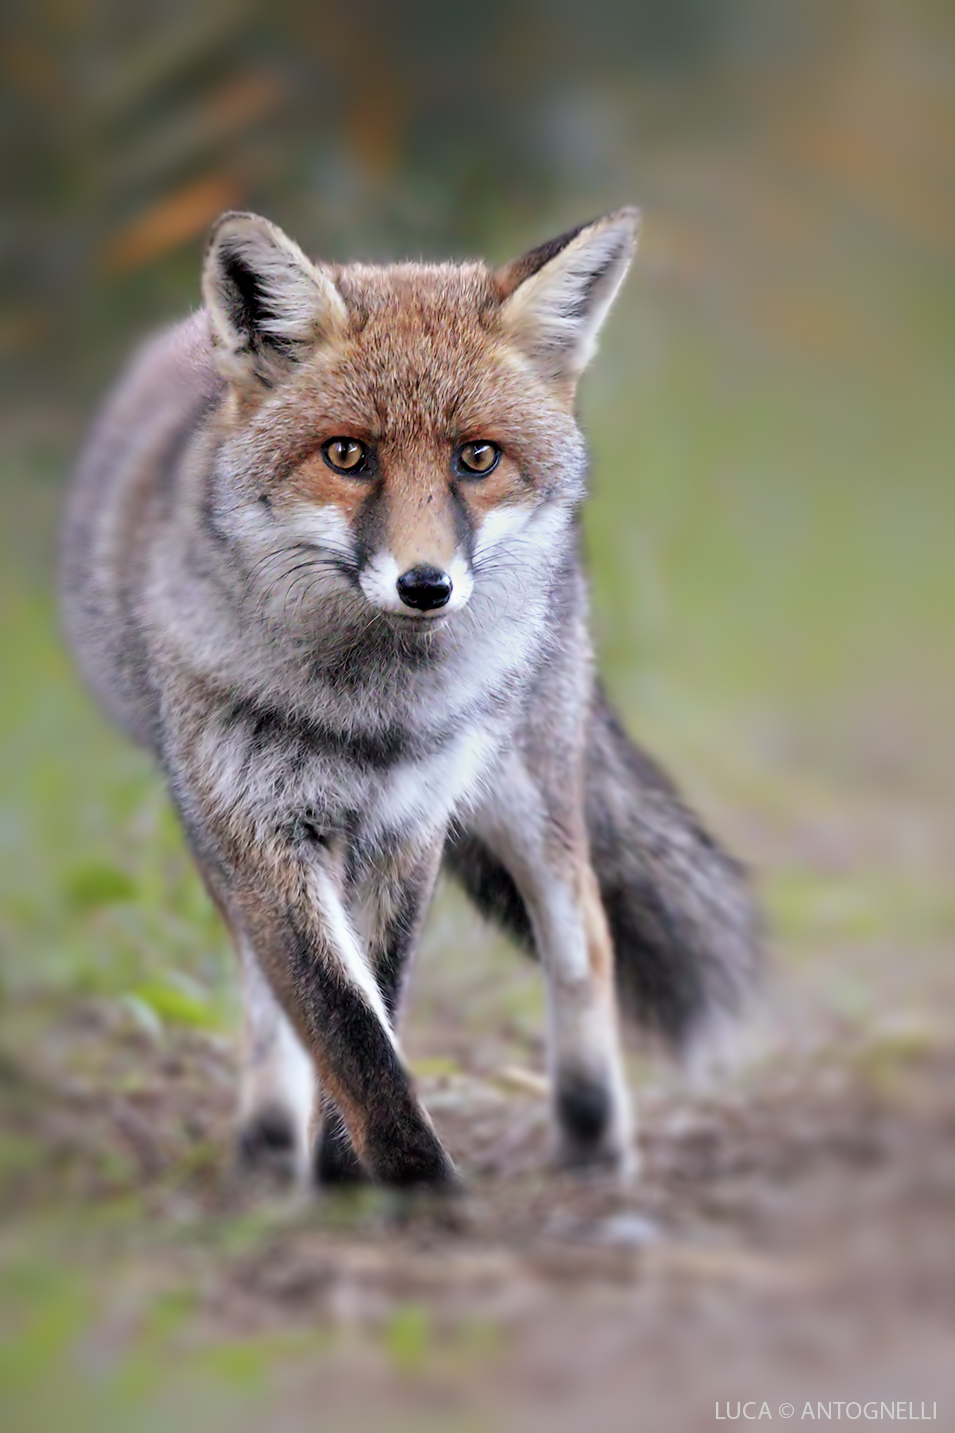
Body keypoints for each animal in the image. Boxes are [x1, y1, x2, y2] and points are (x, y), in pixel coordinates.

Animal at [60, 207, 760, 1190]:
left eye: (478, 457)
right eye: (346, 454)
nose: (425, 586)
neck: (367, 713)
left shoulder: (411, 825)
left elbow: (379, 1009)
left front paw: (371, 1185)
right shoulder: (258, 833)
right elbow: (344, 1026)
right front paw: (404, 1186)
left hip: (528, 795)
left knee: (584, 937)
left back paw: (593, 1140)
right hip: (216, 829)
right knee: (264, 993)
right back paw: (268, 1146)